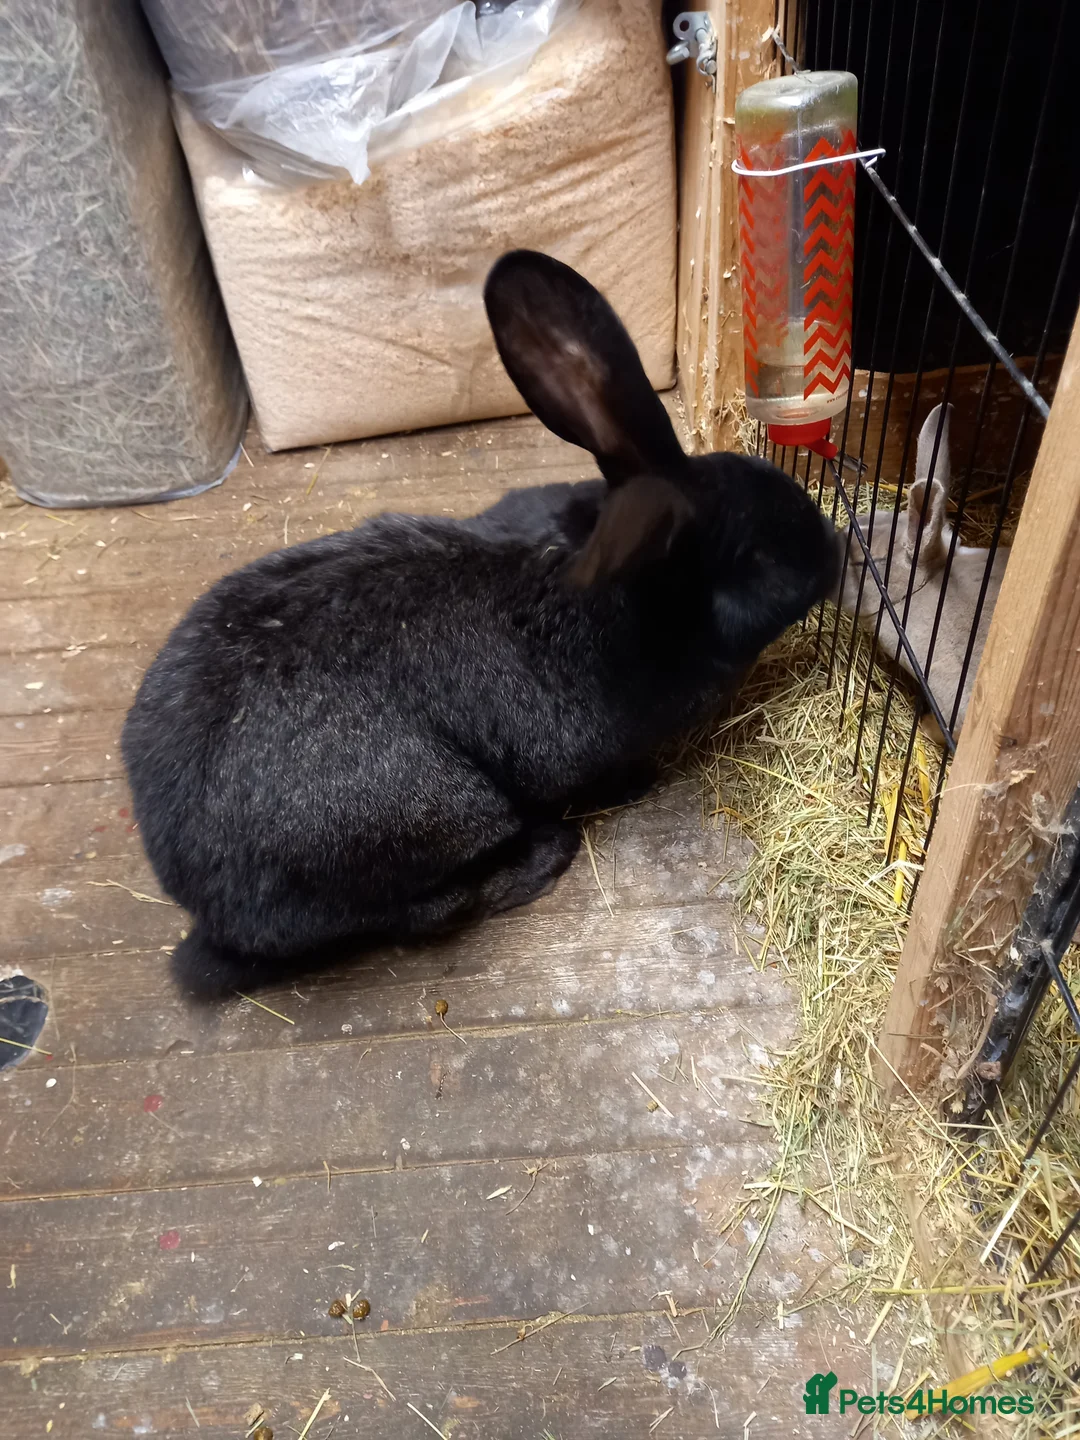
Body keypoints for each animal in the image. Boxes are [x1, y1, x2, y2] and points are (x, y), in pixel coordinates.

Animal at [122, 249, 841, 998]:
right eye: (759, 558)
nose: (836, 552)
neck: (636, 603)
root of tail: (207, 908)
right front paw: (633, 784)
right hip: (443, 812)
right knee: (428, 912)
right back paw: (546, 853)